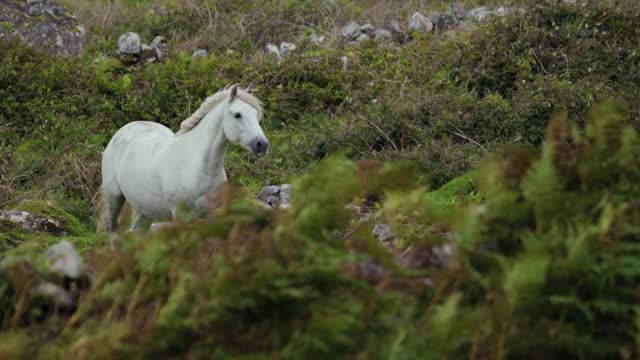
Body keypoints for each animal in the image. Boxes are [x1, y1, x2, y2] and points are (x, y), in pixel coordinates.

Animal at [101, 84, 266, 232]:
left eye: (256, 115)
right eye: (237, 114)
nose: (262, 145)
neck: (199, 167)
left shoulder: (210, 215)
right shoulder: (181, 216)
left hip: (146, 210)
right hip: (114, 198)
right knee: (111, 228)